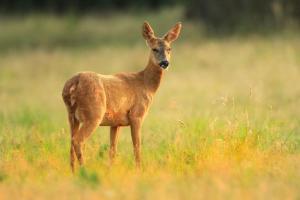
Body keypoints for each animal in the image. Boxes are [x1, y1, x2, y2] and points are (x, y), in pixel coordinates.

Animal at [62, 21, 182, 172]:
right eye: (154, 49)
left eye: (169, 49)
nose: (165, 63)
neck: (145, 84)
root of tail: (72, 85)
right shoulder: (136, 115)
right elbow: (137, 147)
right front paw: (139, 170)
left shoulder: (116, 122)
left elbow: (112, 150)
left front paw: (111, 170)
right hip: (93, 113)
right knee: (78, 140)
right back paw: (85, 169)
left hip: (72, 116)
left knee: (71, 141)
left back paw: (73, 171)